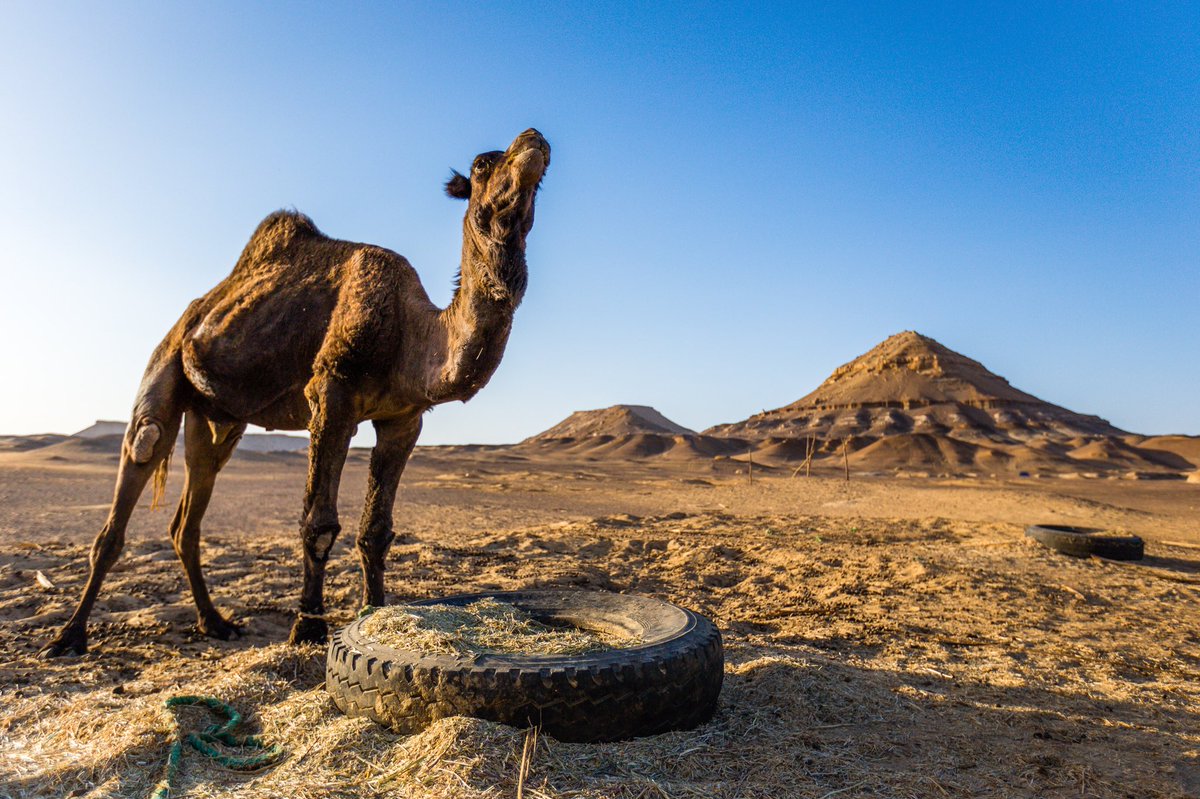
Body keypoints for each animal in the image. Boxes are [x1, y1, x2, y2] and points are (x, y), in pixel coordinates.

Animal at [41, 129, 550, 657]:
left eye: (544, 177)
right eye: (480, 165)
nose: (534, 140)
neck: (411, 332)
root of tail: (195, 313)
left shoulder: (403, 418)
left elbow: (377, 530)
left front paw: (375, 612)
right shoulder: (331, 395)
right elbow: (319, 524)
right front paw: (308, 627)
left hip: (216, 417)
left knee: (189, 516)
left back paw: (215, 622)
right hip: (165, 364)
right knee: (141, 453)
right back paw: (69, 636)